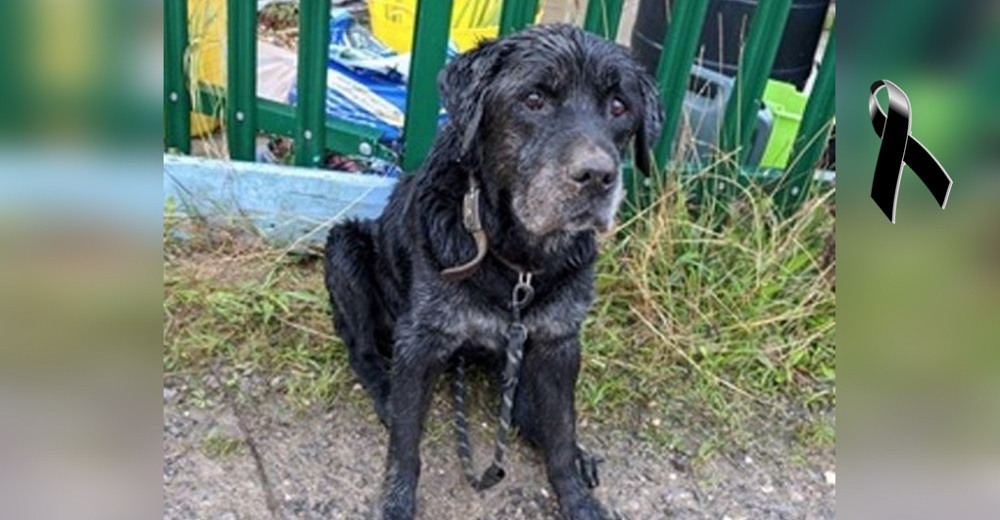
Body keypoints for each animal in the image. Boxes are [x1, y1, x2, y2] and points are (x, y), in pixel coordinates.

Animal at [324, 22, 660, 516]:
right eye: (534, 99)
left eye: (619, 107)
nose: (598, 176)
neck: (519, 263)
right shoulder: (420, 339)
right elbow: (405, 444)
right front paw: (398, 501)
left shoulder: (559, 342)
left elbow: (562, 432)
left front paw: (577, 498)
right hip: (344, 248)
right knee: (362, 350)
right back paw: (383, 388)